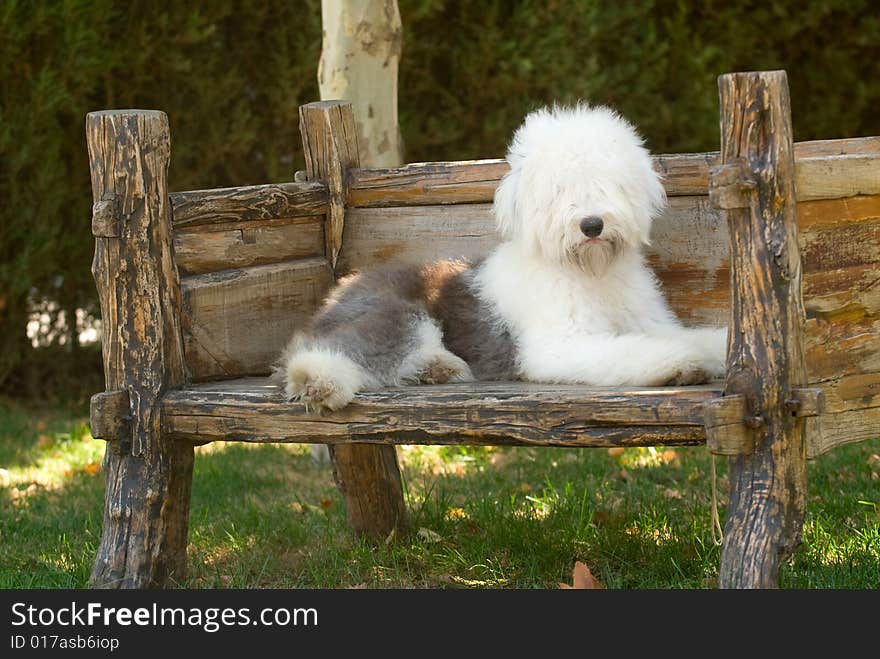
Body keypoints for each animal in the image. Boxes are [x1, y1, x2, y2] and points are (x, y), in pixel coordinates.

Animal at [278, 103, 724, 412]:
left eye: (606, 183)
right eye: (560, 189)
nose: (592, 225)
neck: (590, 273)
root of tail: (336, 293)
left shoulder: (649, 322)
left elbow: (688, 336)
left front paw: (714, 348)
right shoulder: (557, 345)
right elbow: (628, 352)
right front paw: (681, 363)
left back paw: (438, 369)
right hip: (394, 313)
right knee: (337, 350)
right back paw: (320, 381)